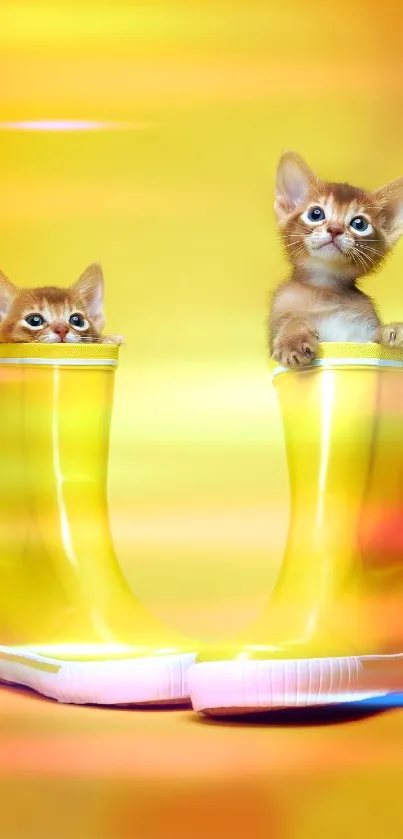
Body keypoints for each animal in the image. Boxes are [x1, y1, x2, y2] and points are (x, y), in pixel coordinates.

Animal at [270, 153, 403, 370]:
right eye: (316, 214)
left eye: (359, 223)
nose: (335, 229)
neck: (325, 289)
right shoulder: (282, 308)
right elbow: (293, 320)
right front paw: (293, 340)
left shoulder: (361, 334)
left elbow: (373, 339)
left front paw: (393, 330)